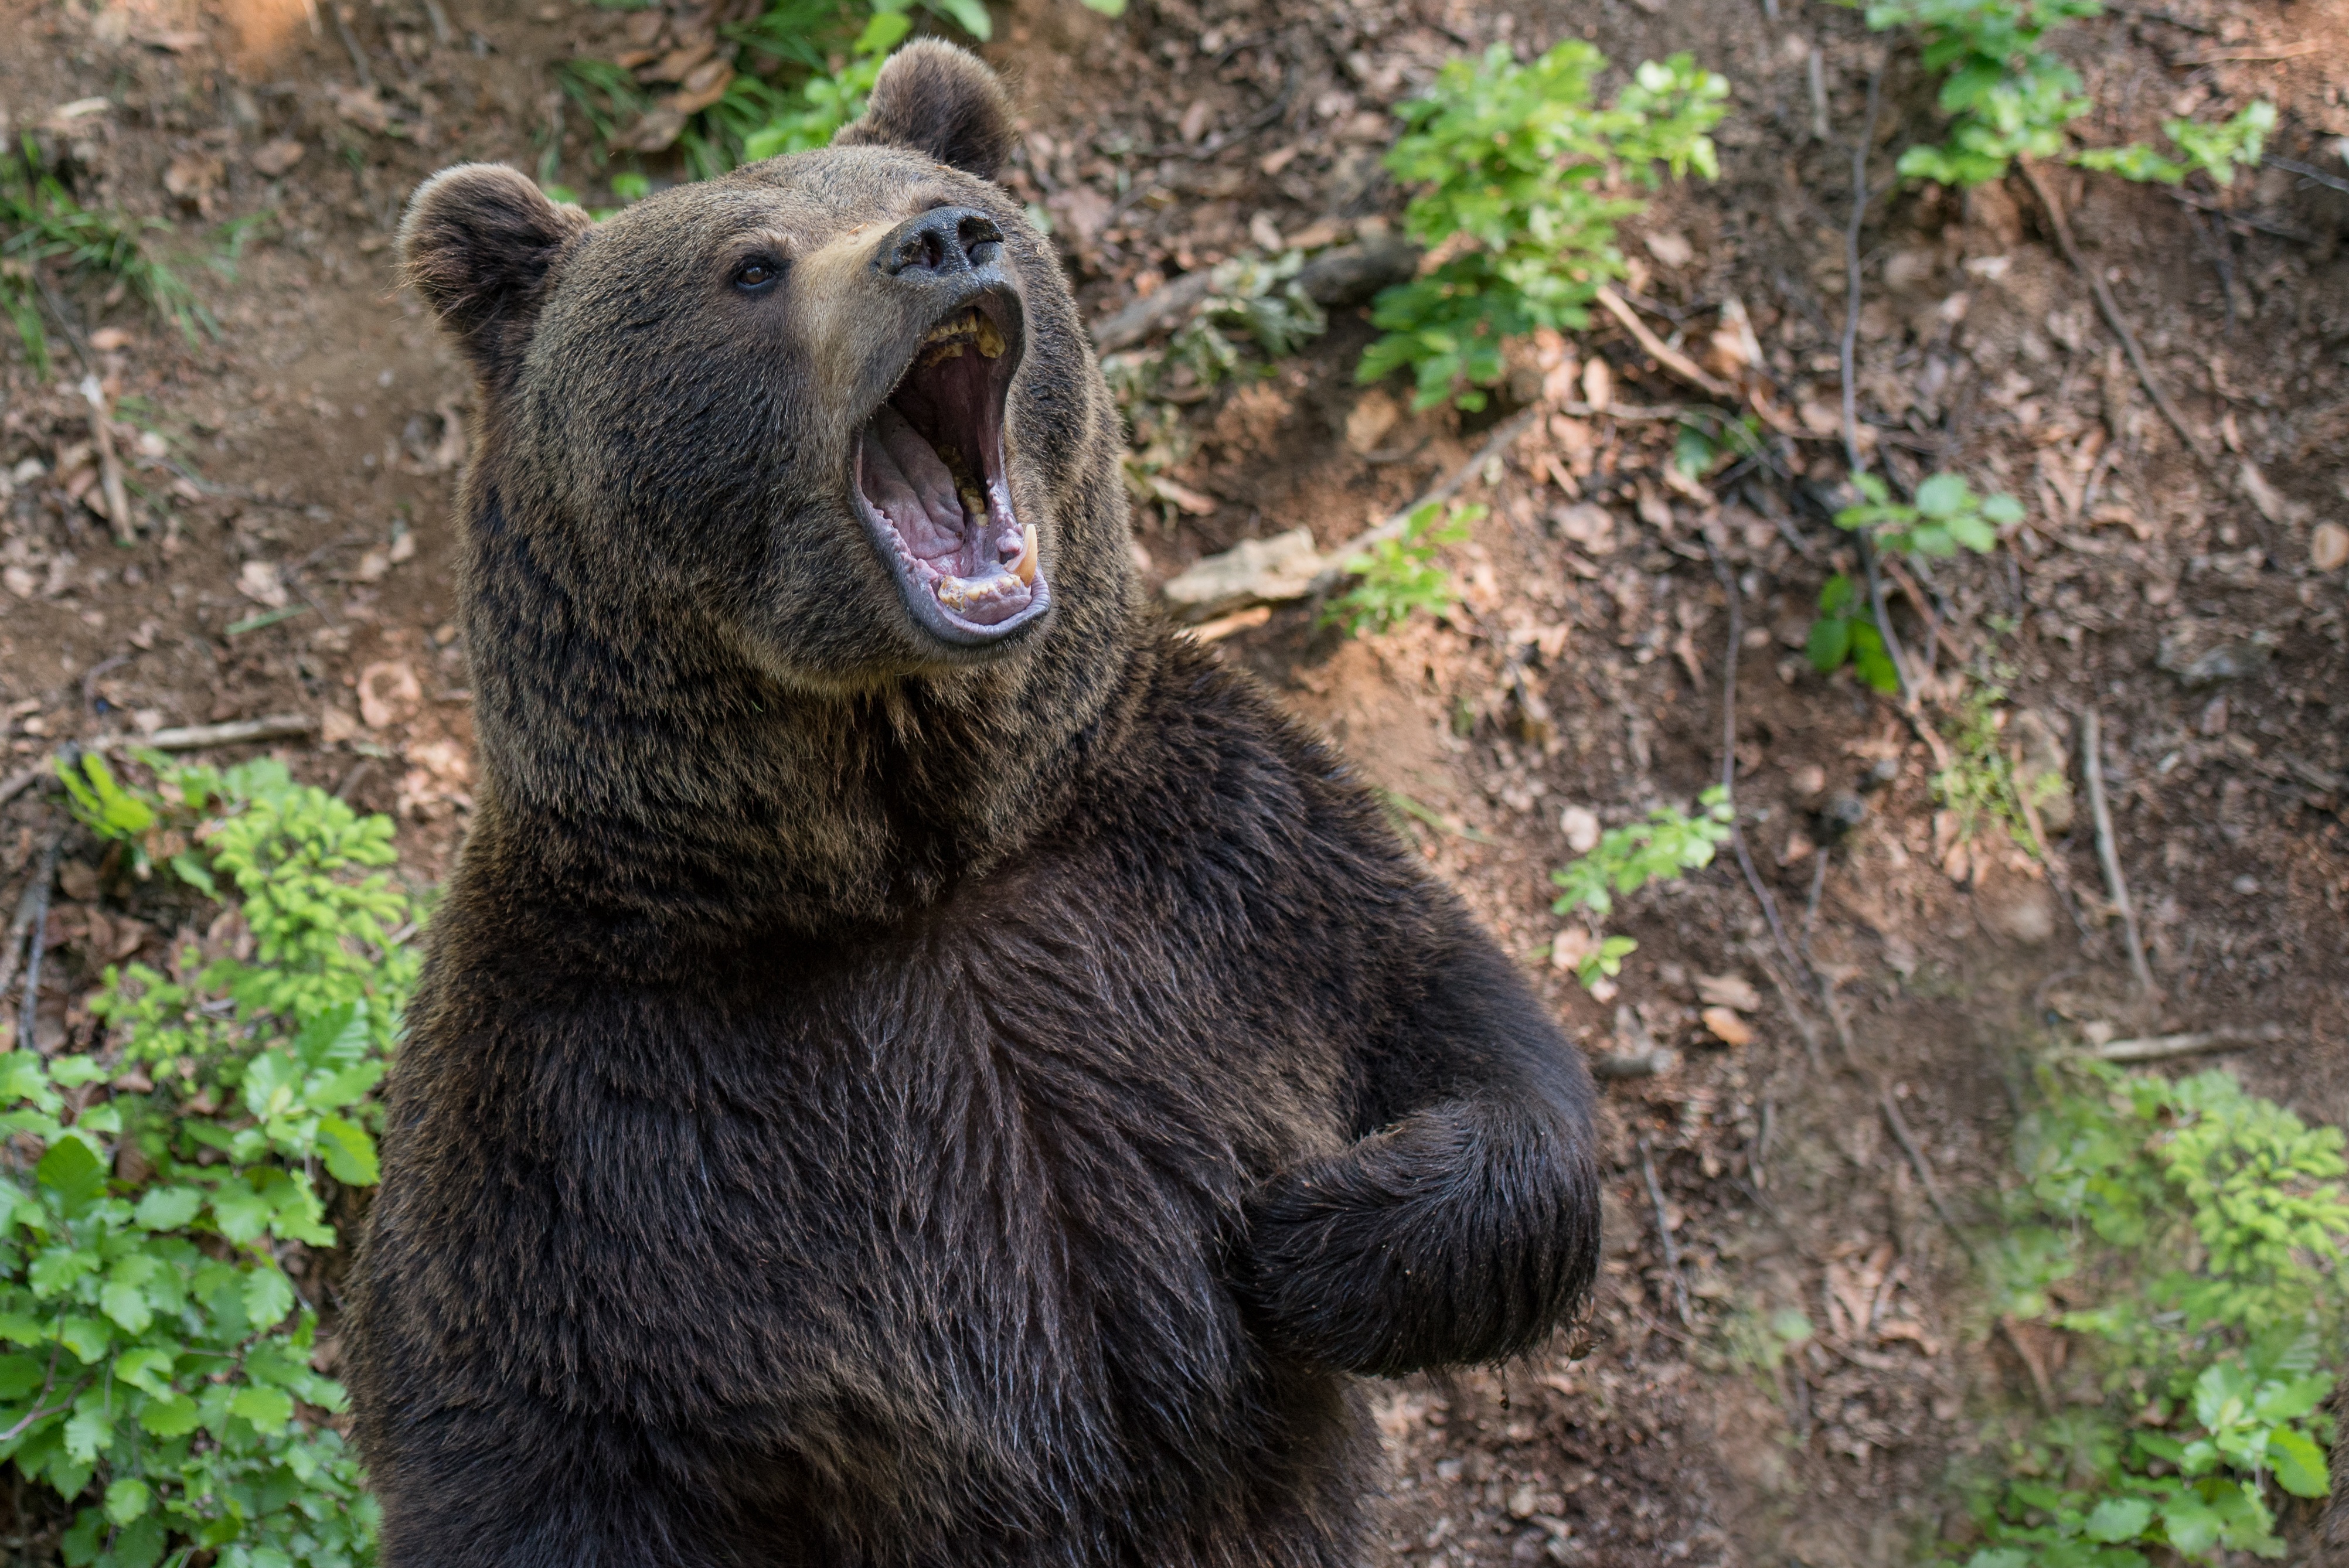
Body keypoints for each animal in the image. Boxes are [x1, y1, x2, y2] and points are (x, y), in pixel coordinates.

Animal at [343, 40, 1597, 1568]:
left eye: (948, 198)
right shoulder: (589, 1111)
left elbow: (1468, 1033)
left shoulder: (1214, 865)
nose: (942, 244)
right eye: (750, 266)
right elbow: (528, 1445)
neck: (917, 858)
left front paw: (1313, 1232)